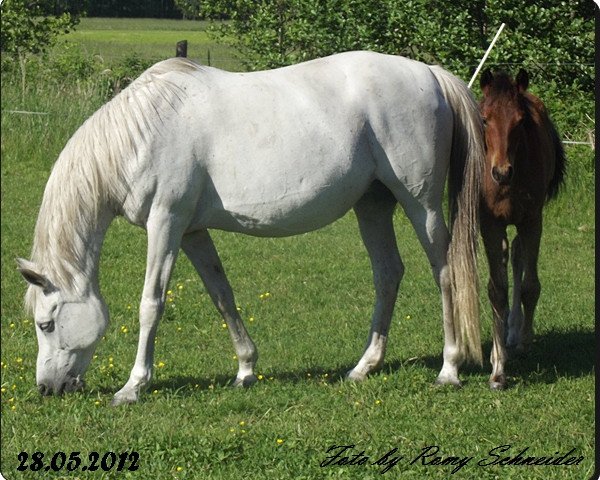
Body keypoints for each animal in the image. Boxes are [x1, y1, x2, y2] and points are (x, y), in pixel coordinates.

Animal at [17, 52, 488, 404]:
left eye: (46, 325)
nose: (47, 388)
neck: (142, 132)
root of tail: (430, 74)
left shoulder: (165, 223)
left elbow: (151, 304)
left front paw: (133, 387)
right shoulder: (191, 232)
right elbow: (222, 296)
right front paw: (245, 370)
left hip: (421, 205)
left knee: (445, 272)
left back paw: (449, 368)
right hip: (372, 207)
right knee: (388, 274)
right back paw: (363, 367)